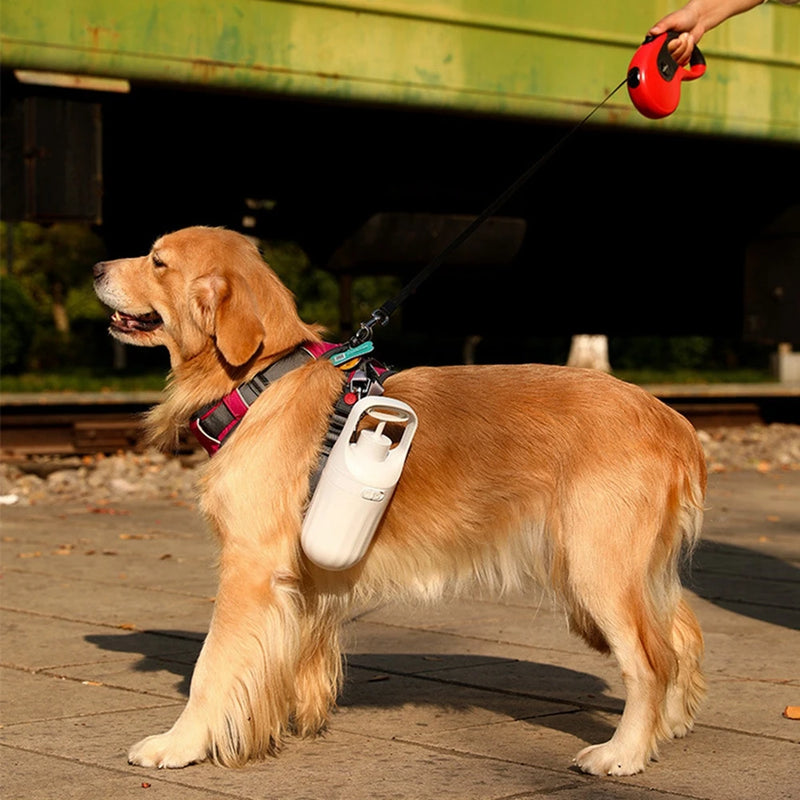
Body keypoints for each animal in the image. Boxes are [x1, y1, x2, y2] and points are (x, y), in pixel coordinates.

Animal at [95, 225, 708, 776]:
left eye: (157, 261)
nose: (97, 268)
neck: (262, 381)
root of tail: (671, 419)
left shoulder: (250, 566)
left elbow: (213, 666)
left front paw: (180, 743)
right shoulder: (299, 581)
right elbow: (286, 659)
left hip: (596, 569)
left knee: (651, 661)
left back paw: (624, 752)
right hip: (625, 570)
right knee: (681, 636)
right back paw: (668, 726)